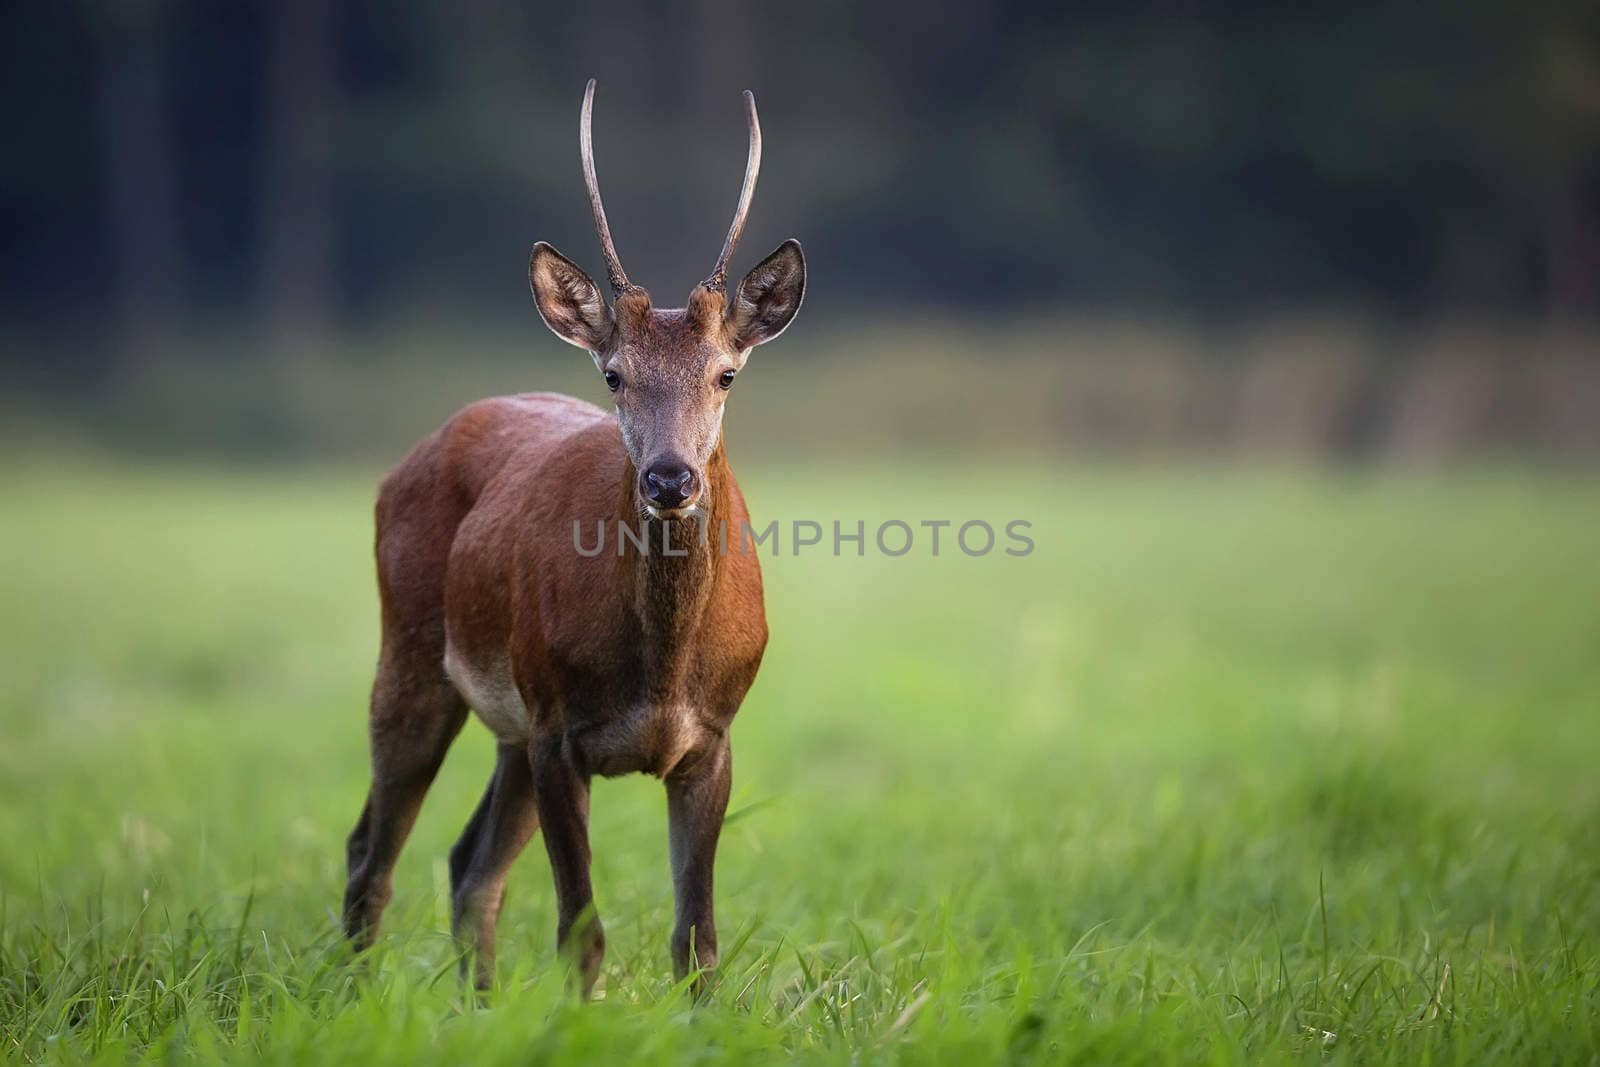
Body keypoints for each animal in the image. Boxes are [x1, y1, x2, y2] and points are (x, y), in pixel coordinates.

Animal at [344, 79, 806, 998]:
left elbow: (697, 941)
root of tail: (403, 462)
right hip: (415, 657)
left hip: (508, 730)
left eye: (726, 373)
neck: (661, 669)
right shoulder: (559, 729)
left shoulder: (713, 737)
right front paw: (577, 1016)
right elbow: (580, 929)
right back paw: (353, 997)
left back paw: (476, 1005)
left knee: (467, 865)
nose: (669, 479)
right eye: (614, 375)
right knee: (372, 851)